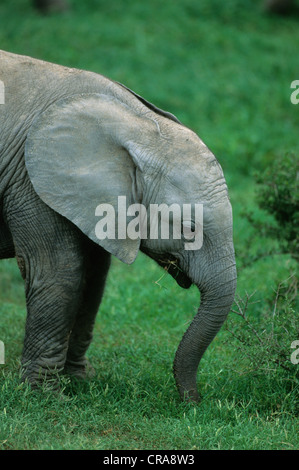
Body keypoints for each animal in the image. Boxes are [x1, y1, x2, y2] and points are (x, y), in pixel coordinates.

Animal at [0, 49, 239, 402]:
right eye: (189, 228)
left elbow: (93, 277)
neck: (137, 124)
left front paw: (79, 382)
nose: (196, 401)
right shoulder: (30, 182)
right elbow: (59, 272)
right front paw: (45, 396)